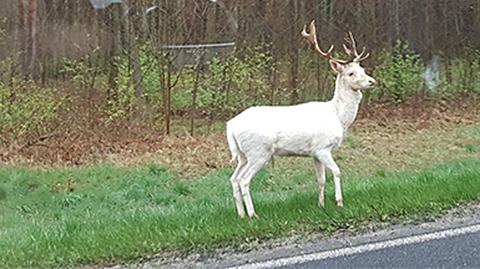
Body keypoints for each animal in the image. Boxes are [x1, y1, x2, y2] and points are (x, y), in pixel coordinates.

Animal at [227, 21, 376, 218]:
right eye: (351, 73)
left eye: (363, 69)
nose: (372, 81)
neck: (338, 116)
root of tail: (231, 126)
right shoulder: (323, 147)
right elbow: (337, 171)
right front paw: (339, 202)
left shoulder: (314, 153)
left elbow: (321, 179)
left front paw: (321, 205)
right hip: (258, 151)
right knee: (244, 180)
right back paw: (253, 215)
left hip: (243, 155)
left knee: (234, 178)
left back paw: (241, 215)